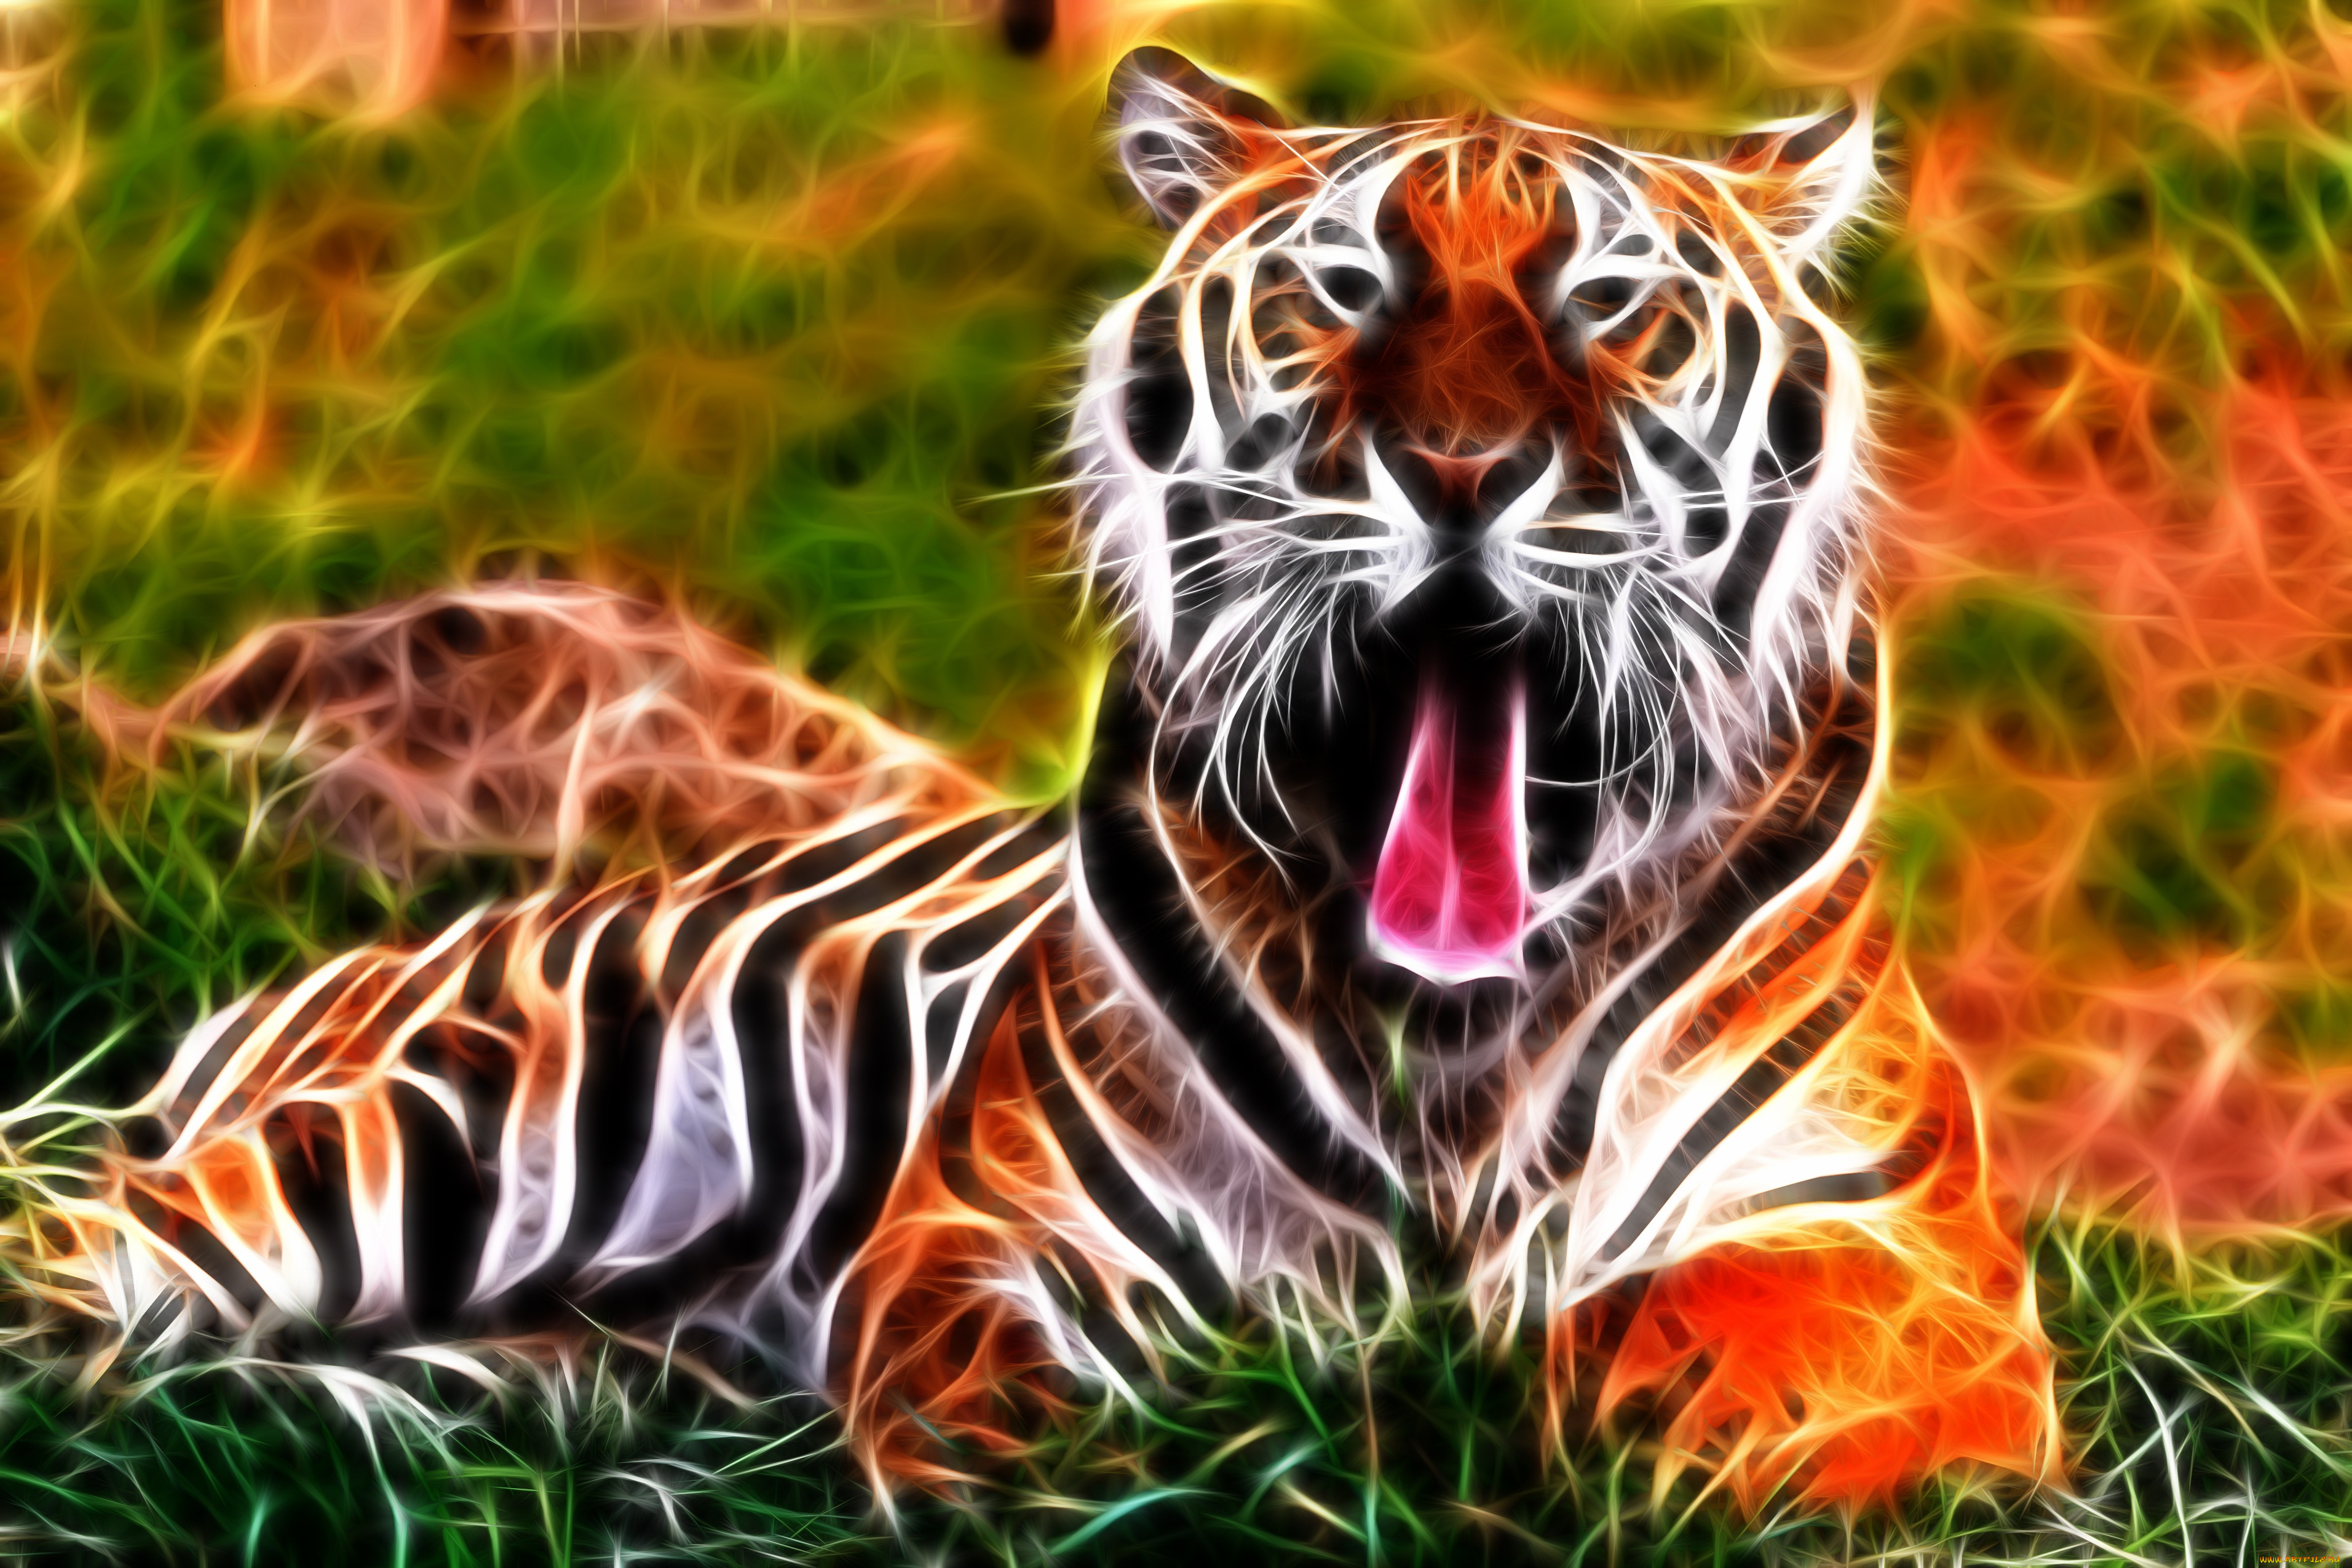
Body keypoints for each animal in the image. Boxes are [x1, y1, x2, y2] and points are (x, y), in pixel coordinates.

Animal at [0, 47, 2057, 1510]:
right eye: (1342, 289)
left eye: (1613, 304)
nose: (1463, 470)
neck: (1457, 1027)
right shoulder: (999, 1235)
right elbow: (1044, 1408)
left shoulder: (1906, 1250)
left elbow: (1677, 1326)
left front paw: (1485, 1405)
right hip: (426, 1129)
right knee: (88, 1259)